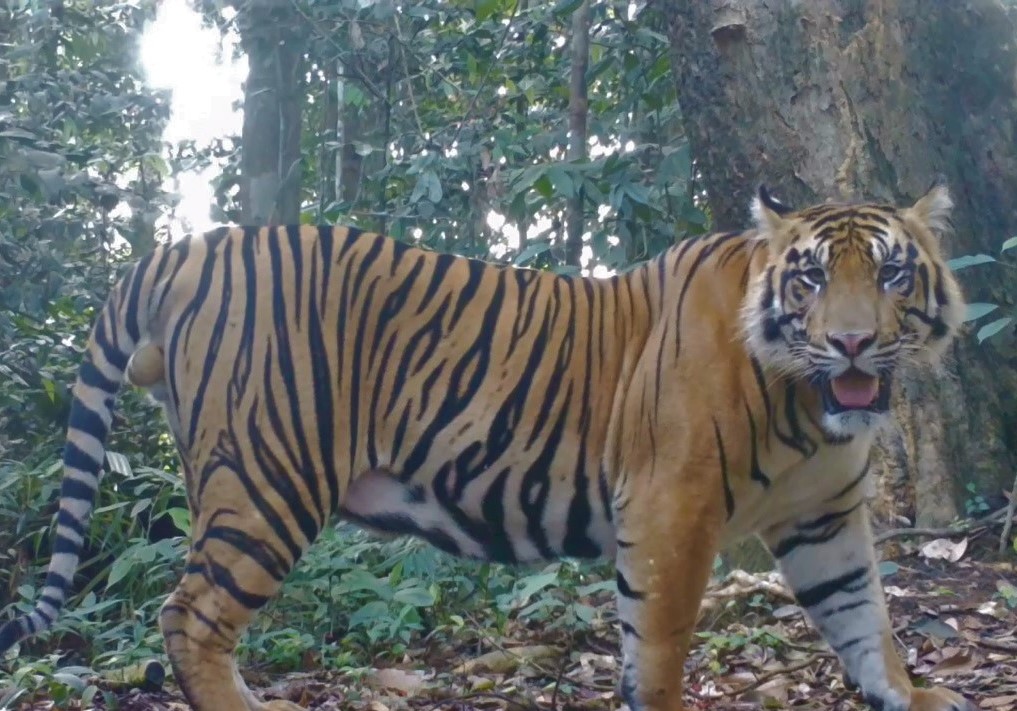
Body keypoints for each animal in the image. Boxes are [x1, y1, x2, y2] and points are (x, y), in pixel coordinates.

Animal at [0, 183, 974, 711]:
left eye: (892, 272)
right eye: (807, 279)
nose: (851, 343)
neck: (808, 405)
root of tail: (178, 251)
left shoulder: (824, 518)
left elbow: (864, 617)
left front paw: (910, 692)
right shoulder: (671, 506)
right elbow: (657, 644)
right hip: (266, 477)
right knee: (190, 615)